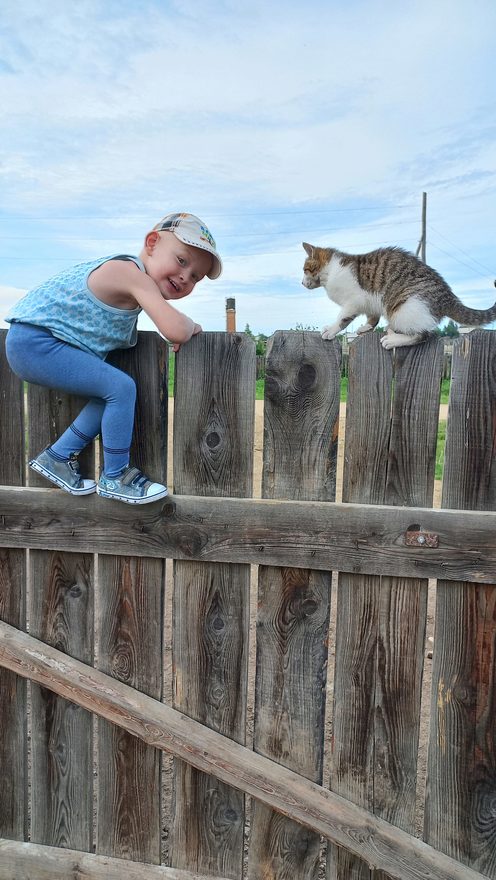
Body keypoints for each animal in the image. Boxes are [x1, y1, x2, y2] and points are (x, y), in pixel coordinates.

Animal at [300, 244, 496, 350]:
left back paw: (393, 339)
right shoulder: (370, 301)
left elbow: (343, 318)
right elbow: (373, 316)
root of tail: (448, 295)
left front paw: (331, 330)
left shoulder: (353, 301)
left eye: (305, 269)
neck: (330, 272)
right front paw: (366, 327)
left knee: (423, 335)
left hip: (404, 308)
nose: (301, 283)